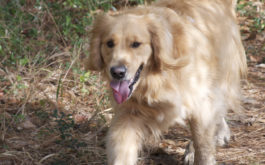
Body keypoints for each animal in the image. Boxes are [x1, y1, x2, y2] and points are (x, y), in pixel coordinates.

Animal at [85, 0, 246, 164]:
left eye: (136, 44)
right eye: (109, 43)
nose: (117, 72)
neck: (157, 79)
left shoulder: (201, 103)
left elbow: (203, 145)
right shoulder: (129, 114)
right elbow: (121, 151)